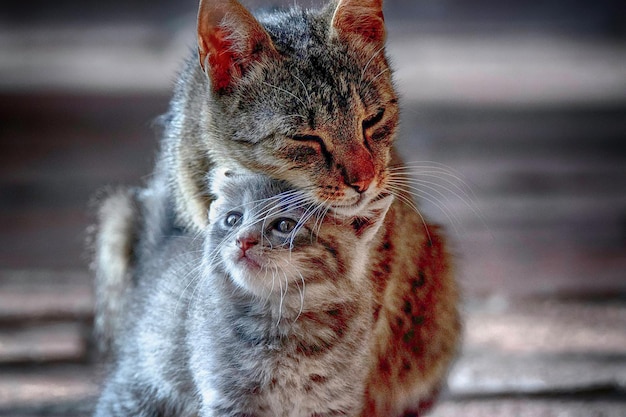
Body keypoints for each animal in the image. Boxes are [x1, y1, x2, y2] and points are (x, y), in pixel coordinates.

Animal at [94, 167, 390, 414]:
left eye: (285, 225)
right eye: (233, 219)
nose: (243, 240)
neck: (282, 315)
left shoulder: (335, 400)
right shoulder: (227, 397)